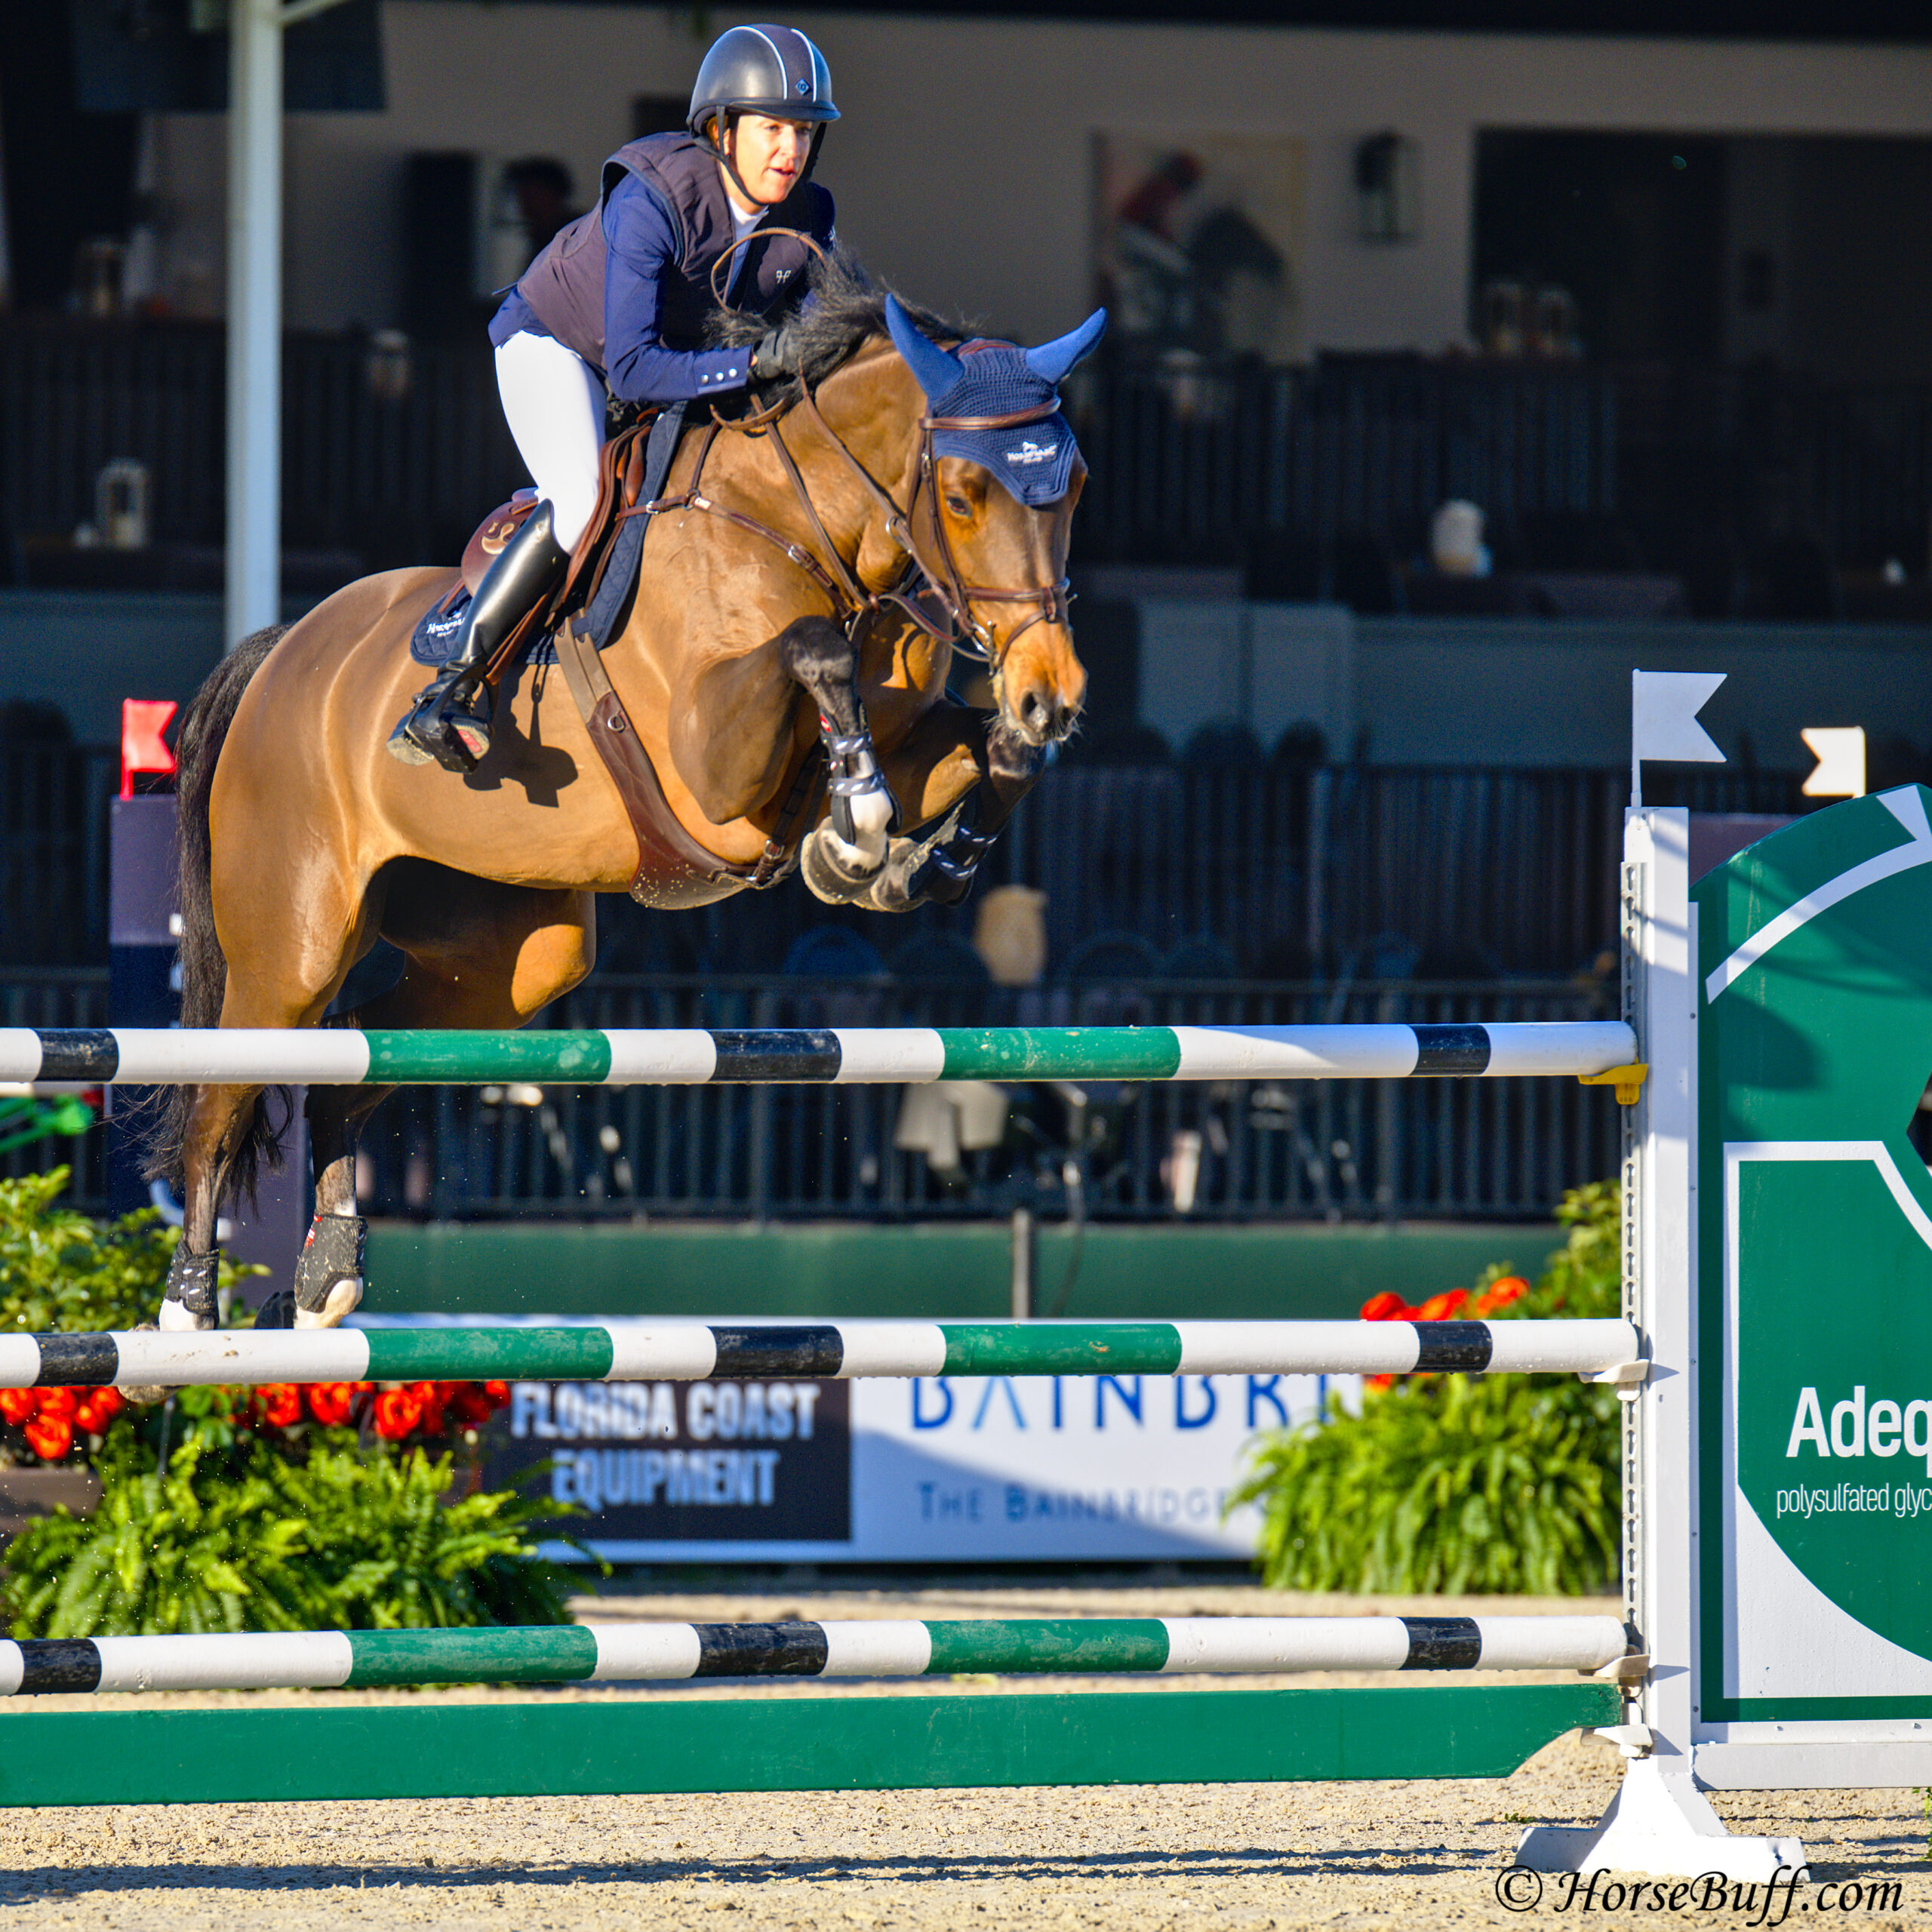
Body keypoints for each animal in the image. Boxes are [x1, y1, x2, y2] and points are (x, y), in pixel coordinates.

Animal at [146, 268, 1105, 1329]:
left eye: (1074, 489)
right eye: (966, 496)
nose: (1053, 690)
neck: (802, 527)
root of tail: (283, 653)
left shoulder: (901, 742)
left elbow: (993, 755)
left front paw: (921, 862)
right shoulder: (713, 774)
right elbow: (813, 654)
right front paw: (856, 836)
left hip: (511, 958)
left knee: (351, 1060)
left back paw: (327, 1272)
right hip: (292, 945)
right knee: (221, 1096)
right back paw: (189, 1309)